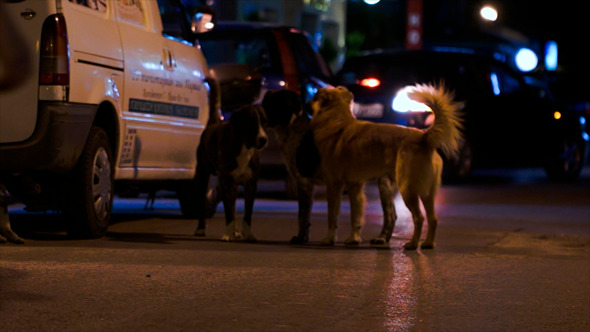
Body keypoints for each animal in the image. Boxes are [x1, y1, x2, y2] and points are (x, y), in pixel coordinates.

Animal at [194, 104, 268, 241]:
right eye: (250, 121)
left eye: (265, 122)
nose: (263, 139)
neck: (243, 146)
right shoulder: (226, 183)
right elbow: (228, 211)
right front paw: (228, 233)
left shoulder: (251, 184)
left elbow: (247, 213)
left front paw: (248, 234)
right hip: (202, 176)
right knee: (202, 203)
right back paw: (200, 229)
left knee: (233, 206)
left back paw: (236, 231)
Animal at [310, 84, 462, 248]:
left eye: (314, 97)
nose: (305, 104)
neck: (337, 120)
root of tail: (423, 136)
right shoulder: (354, 186)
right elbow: (355, 216)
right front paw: (353, 238)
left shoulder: (333, 185)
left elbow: (332, 217)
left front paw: (329, 239)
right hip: (424, 192)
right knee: (432, 218)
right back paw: (427, 243)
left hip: (407, 189)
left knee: (419, 217)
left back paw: (413, 244)